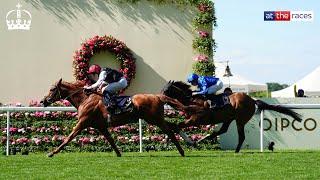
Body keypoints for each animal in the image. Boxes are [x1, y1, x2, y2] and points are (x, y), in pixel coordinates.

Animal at [41, 78, 189, 156]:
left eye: (52, 89)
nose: (43, 101)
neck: (85, 99)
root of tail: (158, 96)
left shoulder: (82, 122)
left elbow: (68, 138)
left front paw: (52, 153)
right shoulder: (101, 126)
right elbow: (111, 140)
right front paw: (119, 154)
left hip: (155, 119)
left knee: (170, 131)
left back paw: (182, 150)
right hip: (154, 119)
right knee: (174, 126)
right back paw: (189, 142)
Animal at [162, 81, 302, 153]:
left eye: (166, 90)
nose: (160, 97)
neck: (191, 100)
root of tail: (252, 100)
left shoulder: (196, 119)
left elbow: (177, 125)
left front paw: (189, 141)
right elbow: (175, 125)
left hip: (240, 120)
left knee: (241, 136)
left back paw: (235, 150)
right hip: (229, 118)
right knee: (223, 130)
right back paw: (203, 140)